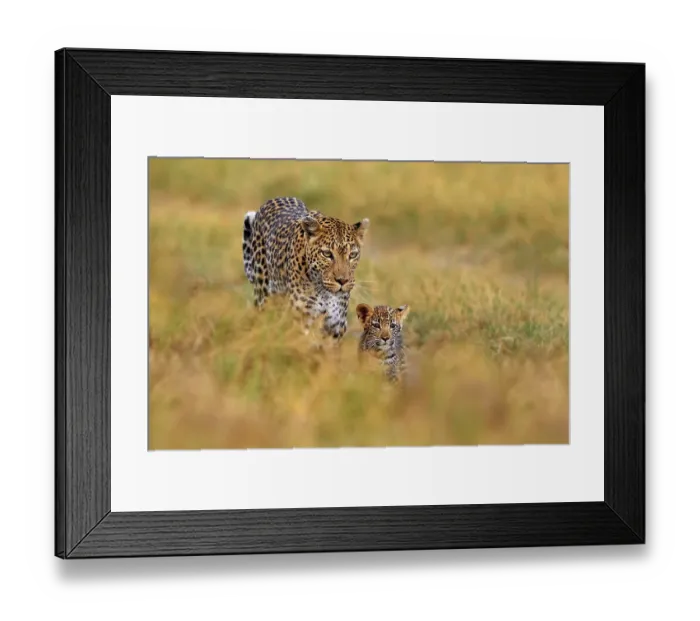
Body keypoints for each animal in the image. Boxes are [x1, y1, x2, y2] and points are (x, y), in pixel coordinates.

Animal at [243, 196, 370, 340]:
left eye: (352, 255)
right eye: (327, 254)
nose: (342, 281)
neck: (325, 293)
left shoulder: (336, 325)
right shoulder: (301, 319)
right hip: (263, 297)